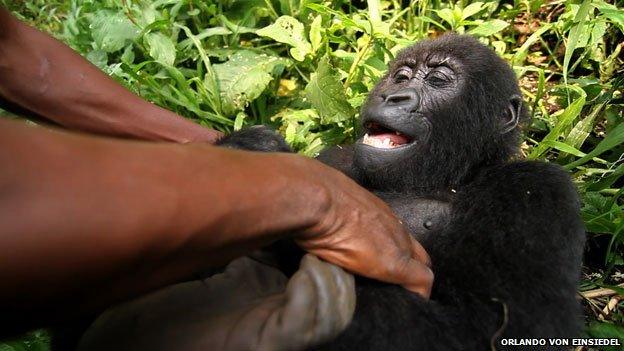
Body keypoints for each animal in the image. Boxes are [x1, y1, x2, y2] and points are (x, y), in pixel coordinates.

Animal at [218, 33, 584, 351]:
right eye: (401, 77)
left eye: (438, 80)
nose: (394, 97)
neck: (446, 176)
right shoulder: (335, 159)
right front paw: (252, 150)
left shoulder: (537, 189)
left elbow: (507, 324)